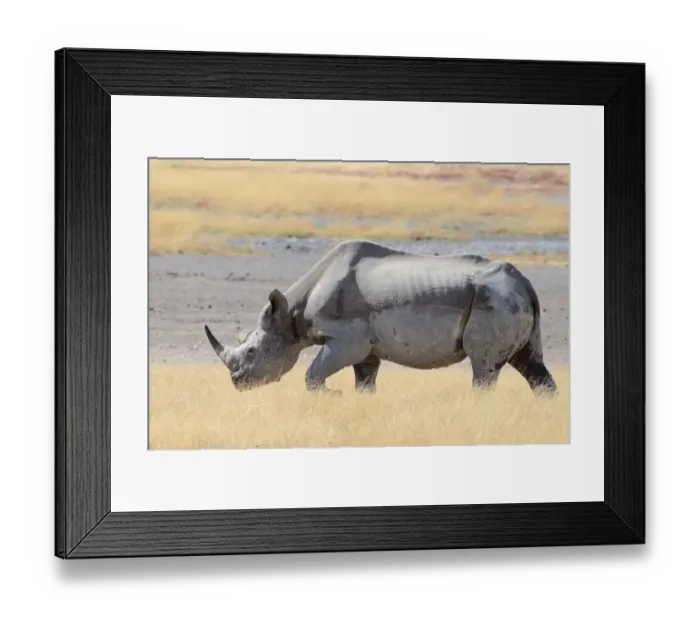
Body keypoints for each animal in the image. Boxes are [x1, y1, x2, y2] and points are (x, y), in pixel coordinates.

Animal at [204, 239, 557, 395]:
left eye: (252, 351)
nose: (236, 383)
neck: (290, 315)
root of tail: (526, 284)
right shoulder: (366, 348)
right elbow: (365, 383)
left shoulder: (347, 339)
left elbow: (312, 376)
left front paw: (332, 395)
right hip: (508, 299)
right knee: (532, 366)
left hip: (494, 300)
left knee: (483, 368)